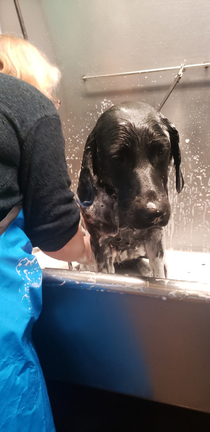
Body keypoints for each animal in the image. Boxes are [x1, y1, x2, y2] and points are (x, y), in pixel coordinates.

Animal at [77, 101, 184, 276]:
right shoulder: (101, 246)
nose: (154, 213)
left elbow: (159, 274)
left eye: (161, 151)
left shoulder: (155, 239)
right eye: (117, 158)